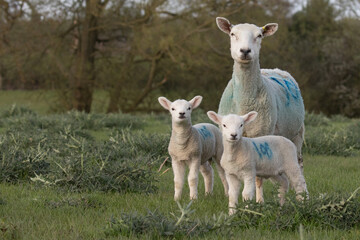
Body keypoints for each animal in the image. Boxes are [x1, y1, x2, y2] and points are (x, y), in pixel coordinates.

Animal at [217, 16, 306, 203]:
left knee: (299, 163)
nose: (245, 51)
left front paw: (258, 202)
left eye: (259, 35)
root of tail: (274, 69)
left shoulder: (261, 133)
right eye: (232, 34)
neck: (244, 100)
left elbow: (257, 177)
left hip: (297, 133)